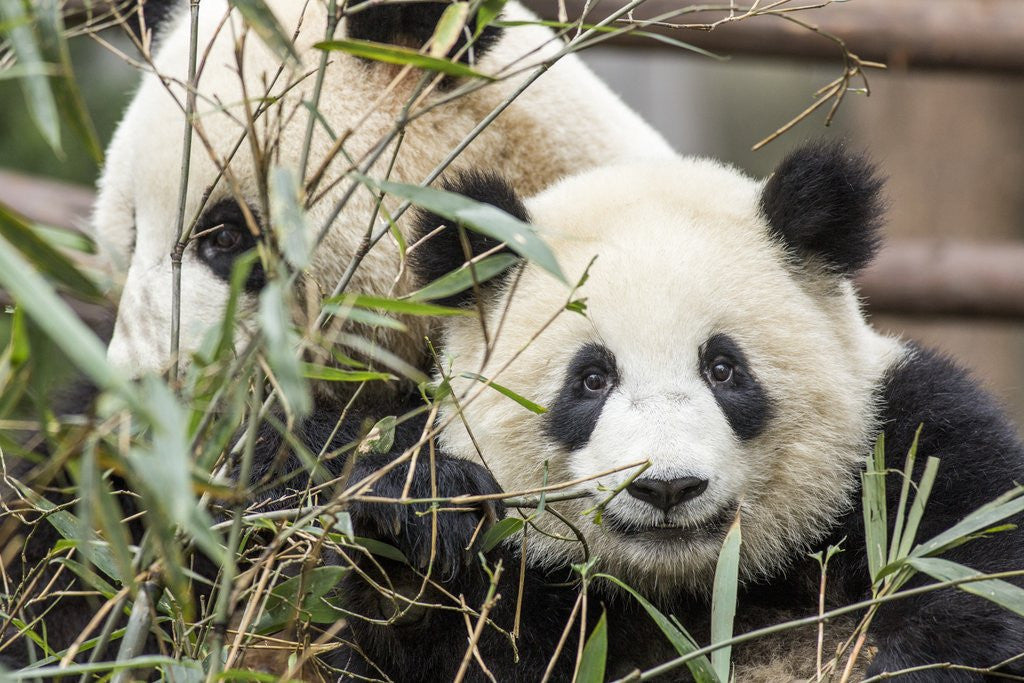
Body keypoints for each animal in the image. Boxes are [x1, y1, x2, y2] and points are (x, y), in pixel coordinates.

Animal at [292, 141, 1024, 681]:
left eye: (724, 369)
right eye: (590, 379)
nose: (668, 487)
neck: (690, 587)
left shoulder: (912, 448)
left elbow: (978, 583)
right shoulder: (535, 592)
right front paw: (417, 526)